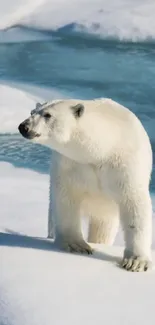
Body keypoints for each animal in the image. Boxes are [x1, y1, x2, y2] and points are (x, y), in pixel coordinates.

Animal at [18, 98, 153, 270]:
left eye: (48, 115)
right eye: (32, 112)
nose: (24, 127)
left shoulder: (126, 165)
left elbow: (134, 203)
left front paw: (135, 262)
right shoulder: (70, 164)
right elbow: (66, 197)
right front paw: (77, 245)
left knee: (103, 228)